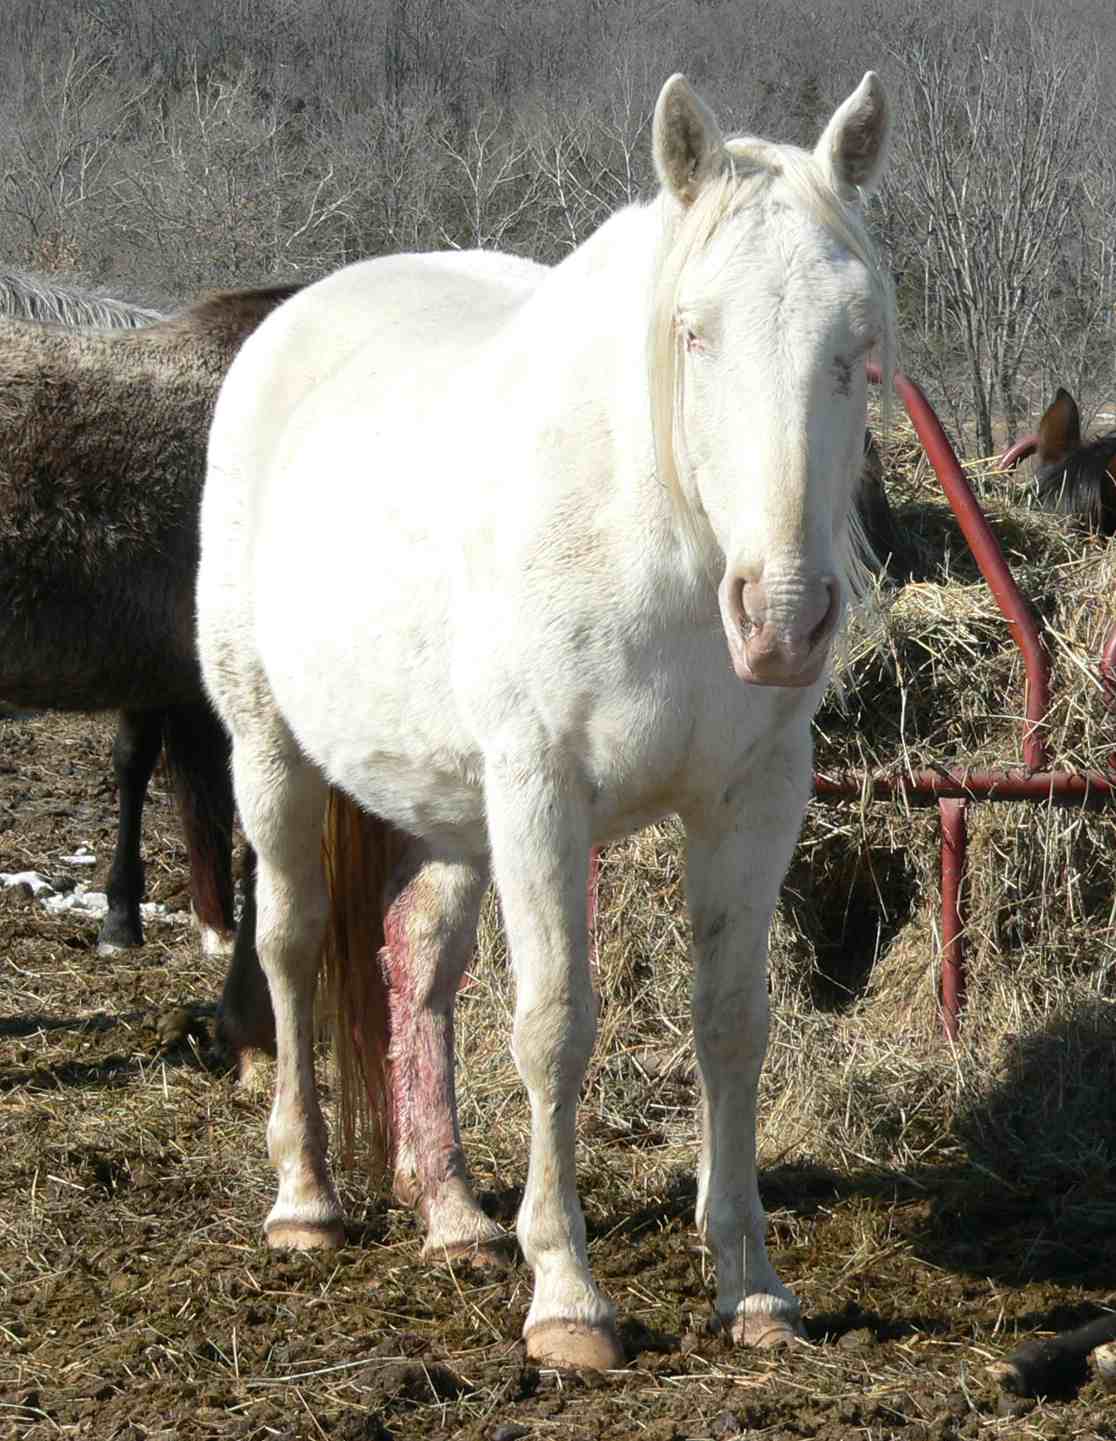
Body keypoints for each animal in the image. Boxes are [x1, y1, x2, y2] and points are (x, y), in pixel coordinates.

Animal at [197, 69, 895, 1370]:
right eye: (695, 331)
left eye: (855, 346)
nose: (782, 620)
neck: (655, 531)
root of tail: (295, 320)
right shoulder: (541, 790)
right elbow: (554, 1025)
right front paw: (568, 1297)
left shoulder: (752, 800)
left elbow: (732, 1023)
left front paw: (752, 1287)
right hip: (271, 754)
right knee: (293, 944)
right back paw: (306, 1200)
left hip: (452, 808)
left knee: (416, 967)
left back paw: (455, 1215)